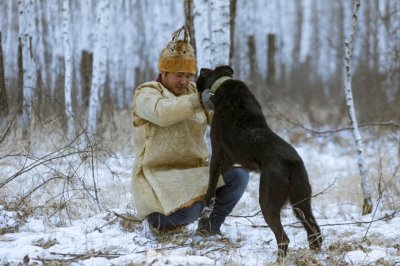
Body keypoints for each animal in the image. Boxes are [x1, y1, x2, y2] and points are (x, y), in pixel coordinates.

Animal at [196, 65, 322, 258]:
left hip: (268, 201)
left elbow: (211, 184)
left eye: (203, 74)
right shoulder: (231, 158)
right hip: (301, 202)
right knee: (314, 230)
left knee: (283, 237)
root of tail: (292, 164)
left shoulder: (218, 152)